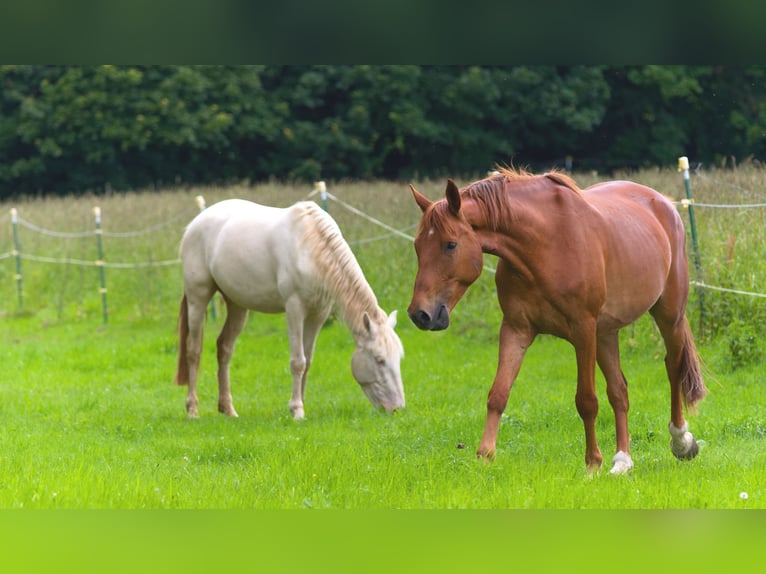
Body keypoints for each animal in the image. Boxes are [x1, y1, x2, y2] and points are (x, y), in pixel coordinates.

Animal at [408, 169, 708, 474]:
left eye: (450, 244)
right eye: (418, 246)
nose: (420, 314)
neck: (543, 245)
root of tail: (665, 203)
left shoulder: (583, 330)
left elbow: (586, 400)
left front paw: (592, 464)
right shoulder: (516, 329)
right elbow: (498, 394)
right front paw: (485, 456)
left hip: (669, 316)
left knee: (673, 368)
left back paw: (681, 442)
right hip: (606, 332)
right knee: (619, 391)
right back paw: (622, 461)